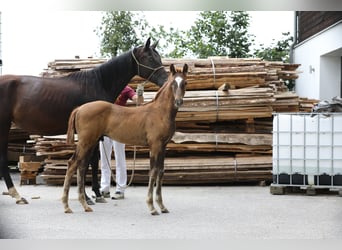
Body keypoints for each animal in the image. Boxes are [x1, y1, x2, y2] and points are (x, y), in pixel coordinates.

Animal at [0, 38, 168, 204]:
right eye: (150, 58)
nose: (166, 81)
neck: (98, 83)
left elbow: (89, 162)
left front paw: (92, 194)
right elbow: (87, 162)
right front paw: (90, 195)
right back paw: (16, 195)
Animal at [62, 63, 188, 214]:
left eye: (185, 83)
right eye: (173, 83)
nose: (178, 101)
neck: (159, 112)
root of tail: (80, 108)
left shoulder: (163, 146)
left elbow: (161, 172)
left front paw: (162, 206)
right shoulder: (155, 145)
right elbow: (153, 172)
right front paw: (152, 207)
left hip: (90, 143)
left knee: (81, 166)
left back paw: (85, 205)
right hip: (86, 142)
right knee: (72, 164)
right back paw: (67, 206)